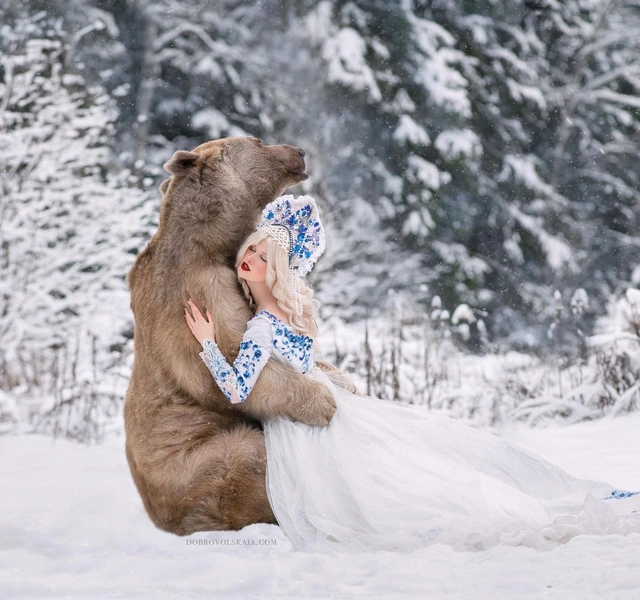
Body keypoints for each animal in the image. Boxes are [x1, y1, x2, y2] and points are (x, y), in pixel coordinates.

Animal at [122, 136, 352, 536]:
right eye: (258, 142)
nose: (299, 151)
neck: (210, 242)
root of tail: (158, 517)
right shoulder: (198, 295)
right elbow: (240, 369)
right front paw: (323, 401)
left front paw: (344, 381)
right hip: (191, 463)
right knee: (244, 456)